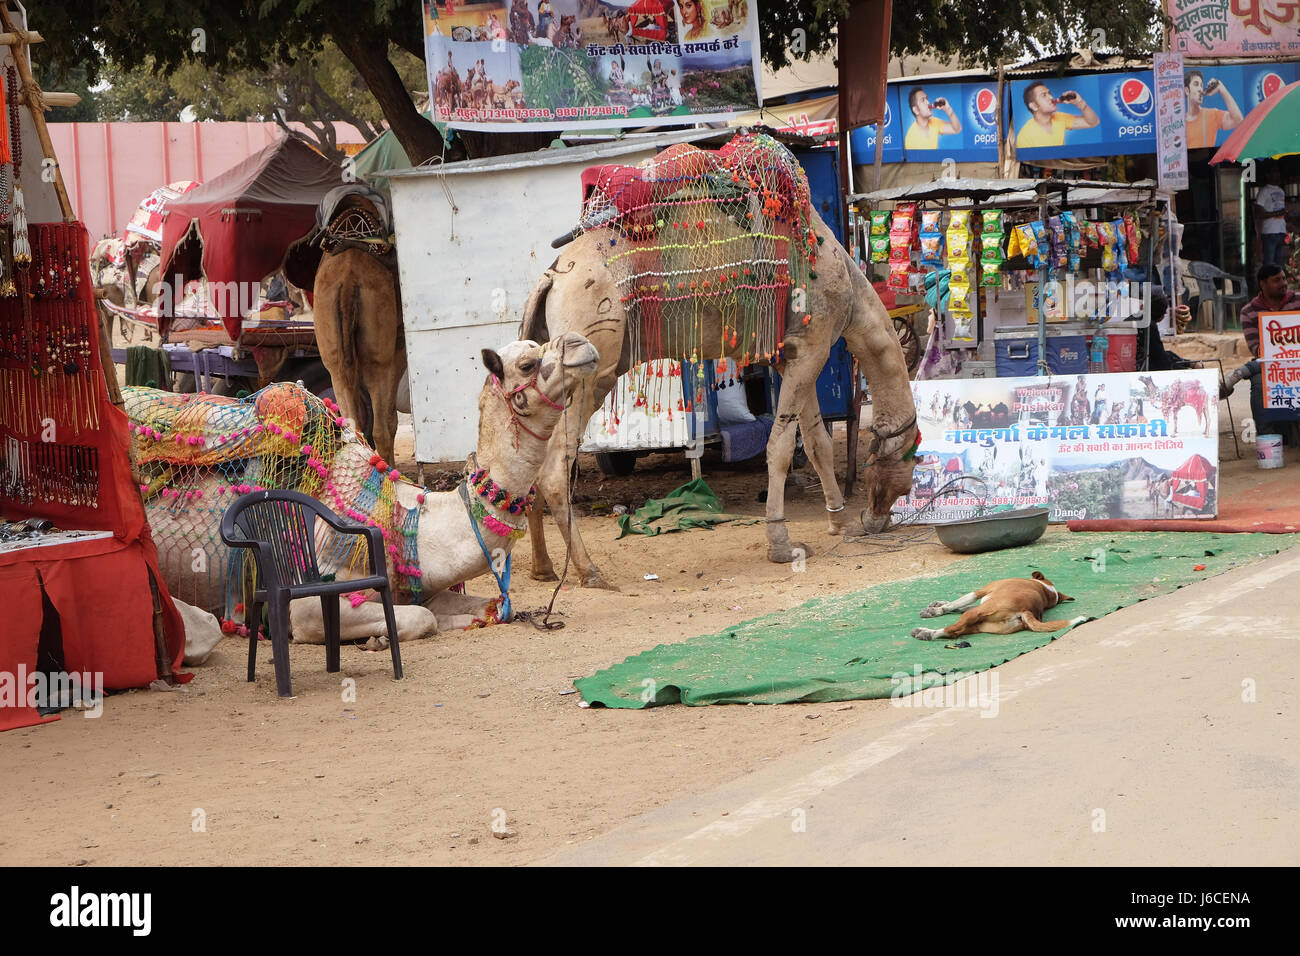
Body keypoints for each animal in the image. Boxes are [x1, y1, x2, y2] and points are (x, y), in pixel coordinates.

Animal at [124, 330, 600, 642]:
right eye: (527, 363)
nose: (582, 343)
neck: (410, 519)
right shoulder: (309, 602)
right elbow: (418, 619)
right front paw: (380, 637)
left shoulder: (424, 584)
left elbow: (478, 609)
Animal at [522, 132, 920, 590]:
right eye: (912, 462)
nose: (879, 518)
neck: (849, 289)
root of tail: (552, 277)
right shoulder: (814, 343)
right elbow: (781, 447)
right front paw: (782, 546)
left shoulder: (793, 354)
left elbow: (817, 441)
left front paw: (840, 523)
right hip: (593, 363)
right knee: (555, 467)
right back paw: (590, 572)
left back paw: (542, 567)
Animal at [915, 567, 1086, 642]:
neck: (1044, 589)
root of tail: (1026, 610)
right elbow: (959, 606)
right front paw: (938, 604)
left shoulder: (981, 592)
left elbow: (954, 605)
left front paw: (937, 610)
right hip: (981, 624)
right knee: (955, 633)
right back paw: (925, 632)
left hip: (975, 615)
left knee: (951, 629)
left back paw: (927, 633)